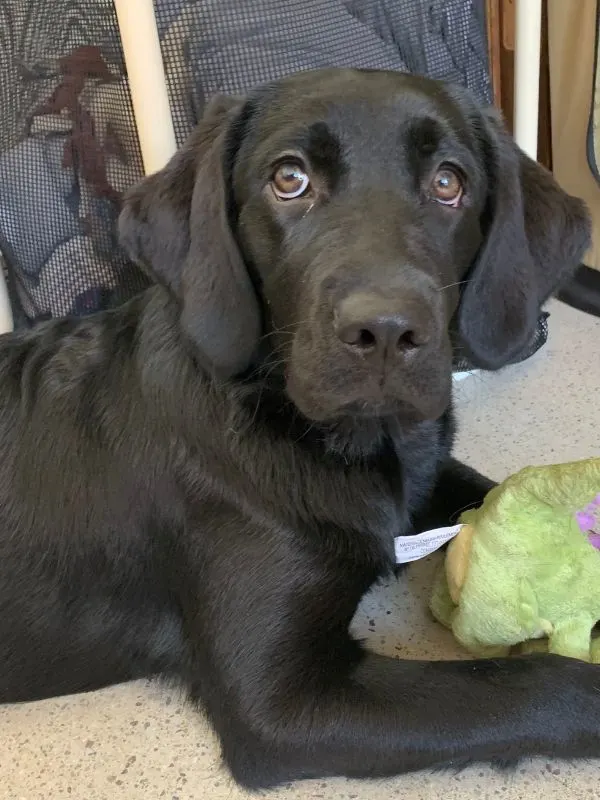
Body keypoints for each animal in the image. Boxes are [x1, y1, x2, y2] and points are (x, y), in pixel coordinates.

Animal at [0, 70, 596, 788]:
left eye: (448, 182)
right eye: (290, 179)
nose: (386, 331)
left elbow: (494, 488)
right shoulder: (280, 704)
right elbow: (524, 687)